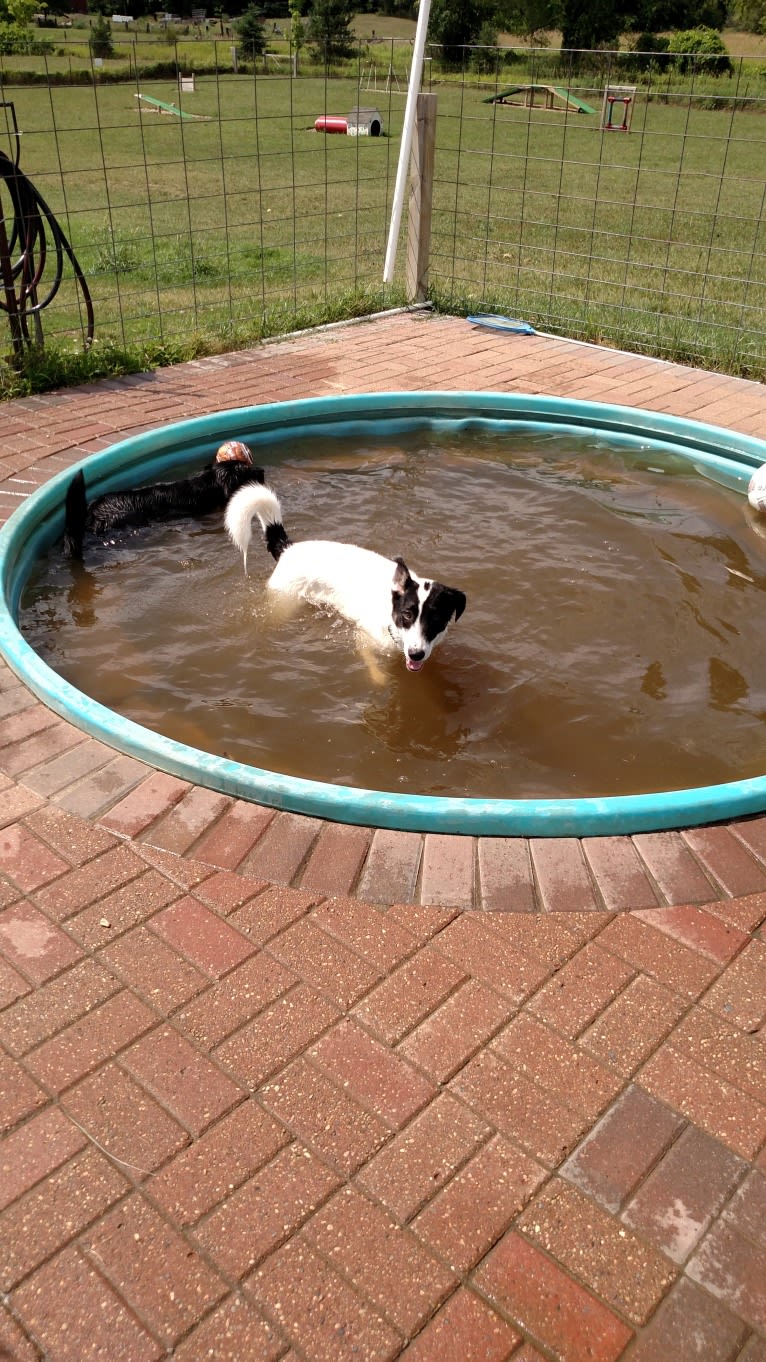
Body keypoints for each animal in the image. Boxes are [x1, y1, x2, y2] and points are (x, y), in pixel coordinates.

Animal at [224, 482, 466, 672]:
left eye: (435, 618)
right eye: (407, 615)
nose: (416, 654)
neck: (391, 619)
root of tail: (288, 548)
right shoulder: (363, 639)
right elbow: (374, 668)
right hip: (284, 602)